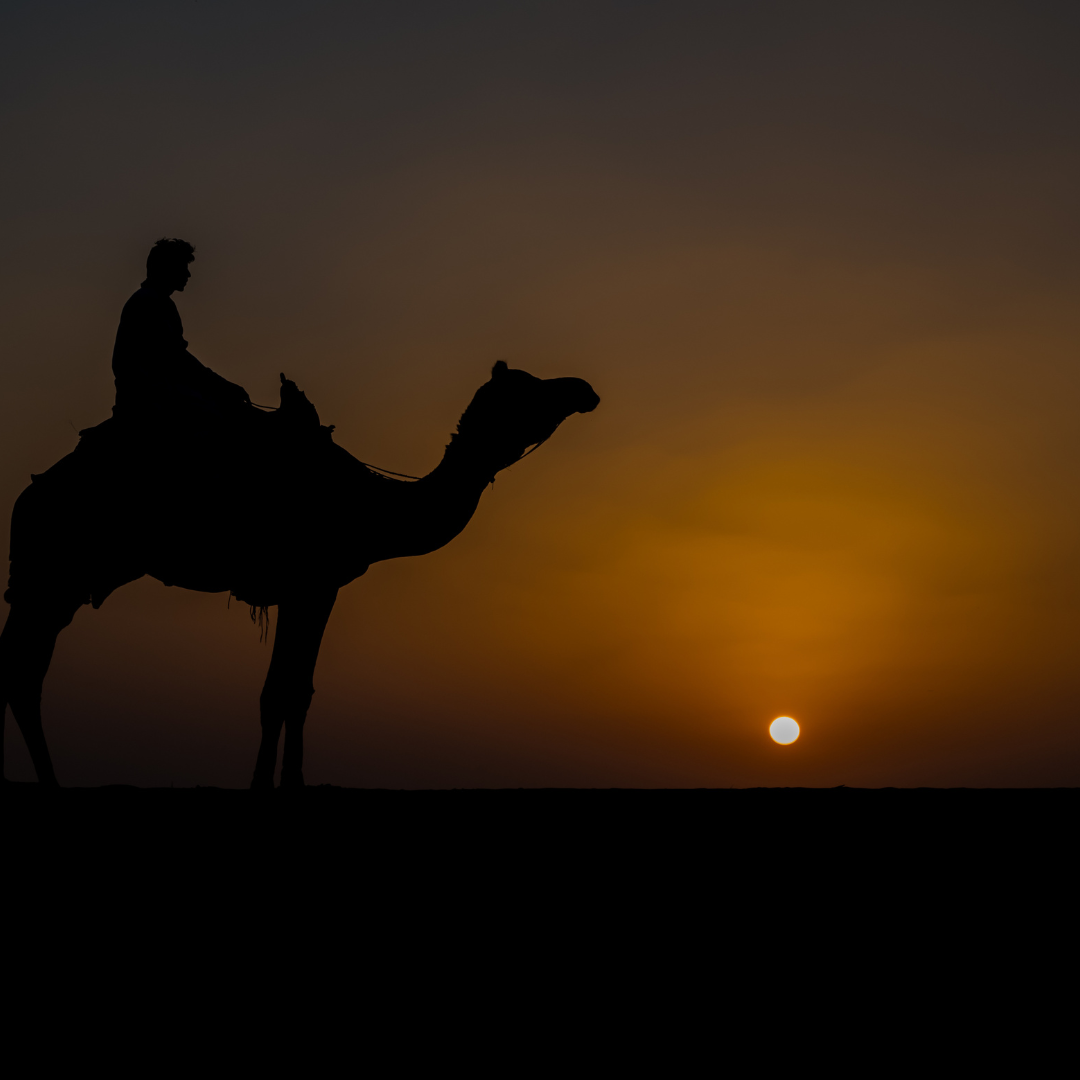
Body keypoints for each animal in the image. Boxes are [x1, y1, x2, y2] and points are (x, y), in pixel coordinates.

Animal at [0, 358, 600, 790]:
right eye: (529, 388)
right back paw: (50, 783)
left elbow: (297, 689)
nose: (584, 389)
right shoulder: (307, 582)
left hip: (53, 581)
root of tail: (29, 495)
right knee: (23, 670)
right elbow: (278, 691)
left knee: (19, 666)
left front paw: (291, 780)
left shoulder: (318, 587)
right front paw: (266, 784)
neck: (371, 506)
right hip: (51, 572)